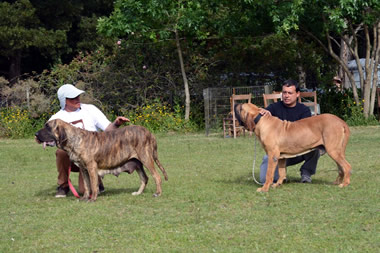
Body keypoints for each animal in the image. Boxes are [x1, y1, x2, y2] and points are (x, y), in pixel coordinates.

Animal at [35, 119, 168, 202]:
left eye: (48, 127)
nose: (36, 134)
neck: (74, 139)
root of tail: (149, 133)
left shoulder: (91, 167)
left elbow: (93, 185)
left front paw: (93, 199)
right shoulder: (83, 169)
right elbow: (87, 186)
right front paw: (85, 198)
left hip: (146, 159)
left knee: (157, 176)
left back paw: (158, 193)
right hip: (138, 163)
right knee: (144, 178)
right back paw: (138, 193)